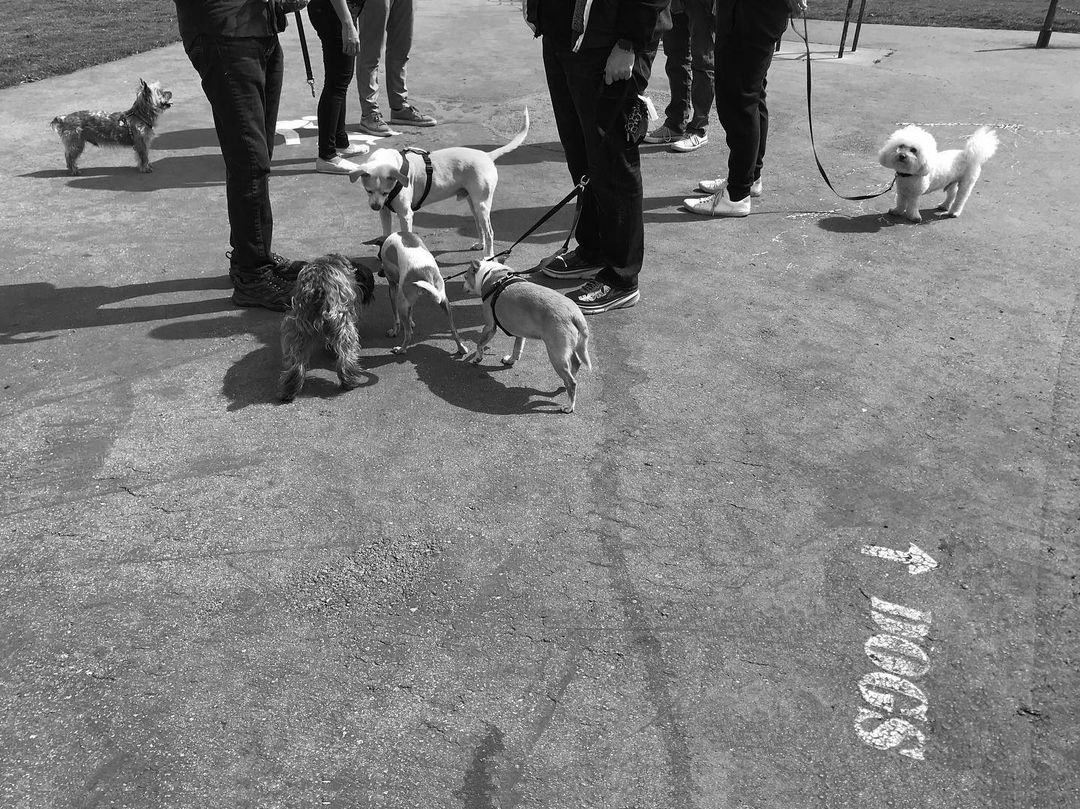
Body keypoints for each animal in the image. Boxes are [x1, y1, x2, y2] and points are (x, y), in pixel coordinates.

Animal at [278, 254, 376, 402]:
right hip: (343, 326)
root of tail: (317, 287)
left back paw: (290, 388)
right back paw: (349, 380)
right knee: (345, 355)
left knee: (296, 361)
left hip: (296, 329)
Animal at [349, 107, 529, 257]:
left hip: (482, 204)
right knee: (481, 228)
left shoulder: (406, 215)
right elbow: (386, 233)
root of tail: (487, 156)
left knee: (490, 232)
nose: (375, 206)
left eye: (385, 192)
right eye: (368, 191)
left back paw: (488, 256)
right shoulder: (384, 212)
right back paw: (480, 245)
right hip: (474, 204)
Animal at [462, 259, 591, 414]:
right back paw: (566, 383)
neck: (491, 274)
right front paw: (510, 360)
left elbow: (480, 344)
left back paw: (569, 406)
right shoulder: (519, 331)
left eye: (465, 277)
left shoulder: (489, 326)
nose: (462, 287)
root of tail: (574, 313)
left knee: (572, 382)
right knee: (576, 364)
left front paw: (477, 357)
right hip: (569, 348)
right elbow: (517, 348)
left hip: (556, 354)